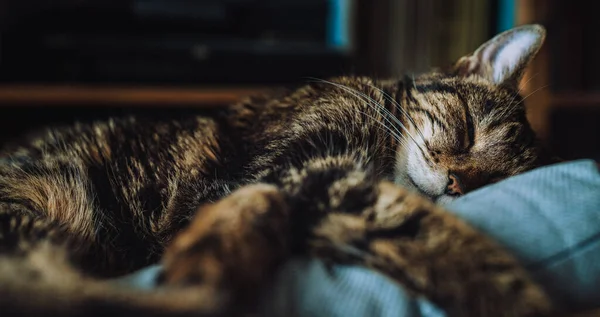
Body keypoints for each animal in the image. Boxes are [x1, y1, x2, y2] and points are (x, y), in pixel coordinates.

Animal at [0, 25, 556, 316]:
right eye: (468, 130)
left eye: (494, 181)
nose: (459, 184)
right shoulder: (297, 168)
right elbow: (433, 234)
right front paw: (517, 298)